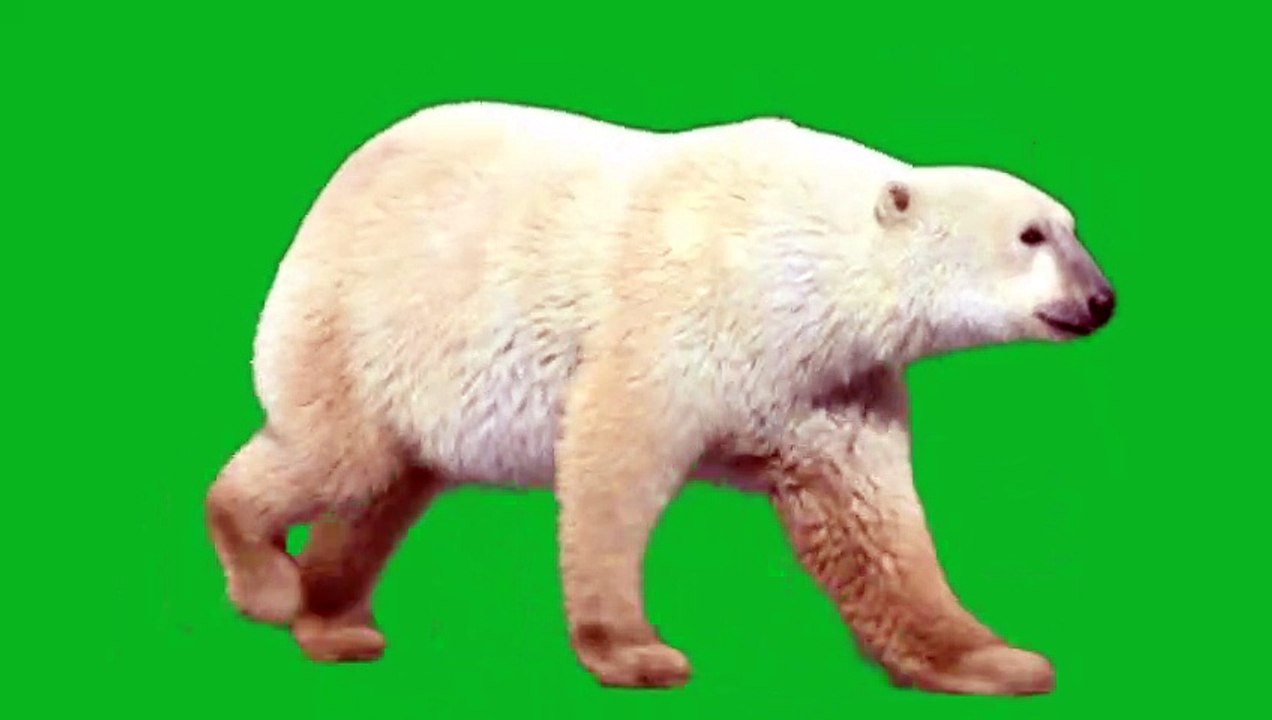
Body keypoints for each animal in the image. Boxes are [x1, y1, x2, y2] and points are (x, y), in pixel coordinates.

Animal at [205, 101, 1115, 696]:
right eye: (1032, 235)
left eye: (1072, 227)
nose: (1102, 299)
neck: (795, 255)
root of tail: (333, 187)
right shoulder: (681, 315)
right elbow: (614, 461)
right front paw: (636, 653)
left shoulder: (827, 382)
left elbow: (869, 520)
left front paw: (1000, 661)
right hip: (362, 322)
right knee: (338, 457)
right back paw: (269, 584)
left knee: (383, 488)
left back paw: (335, 621)